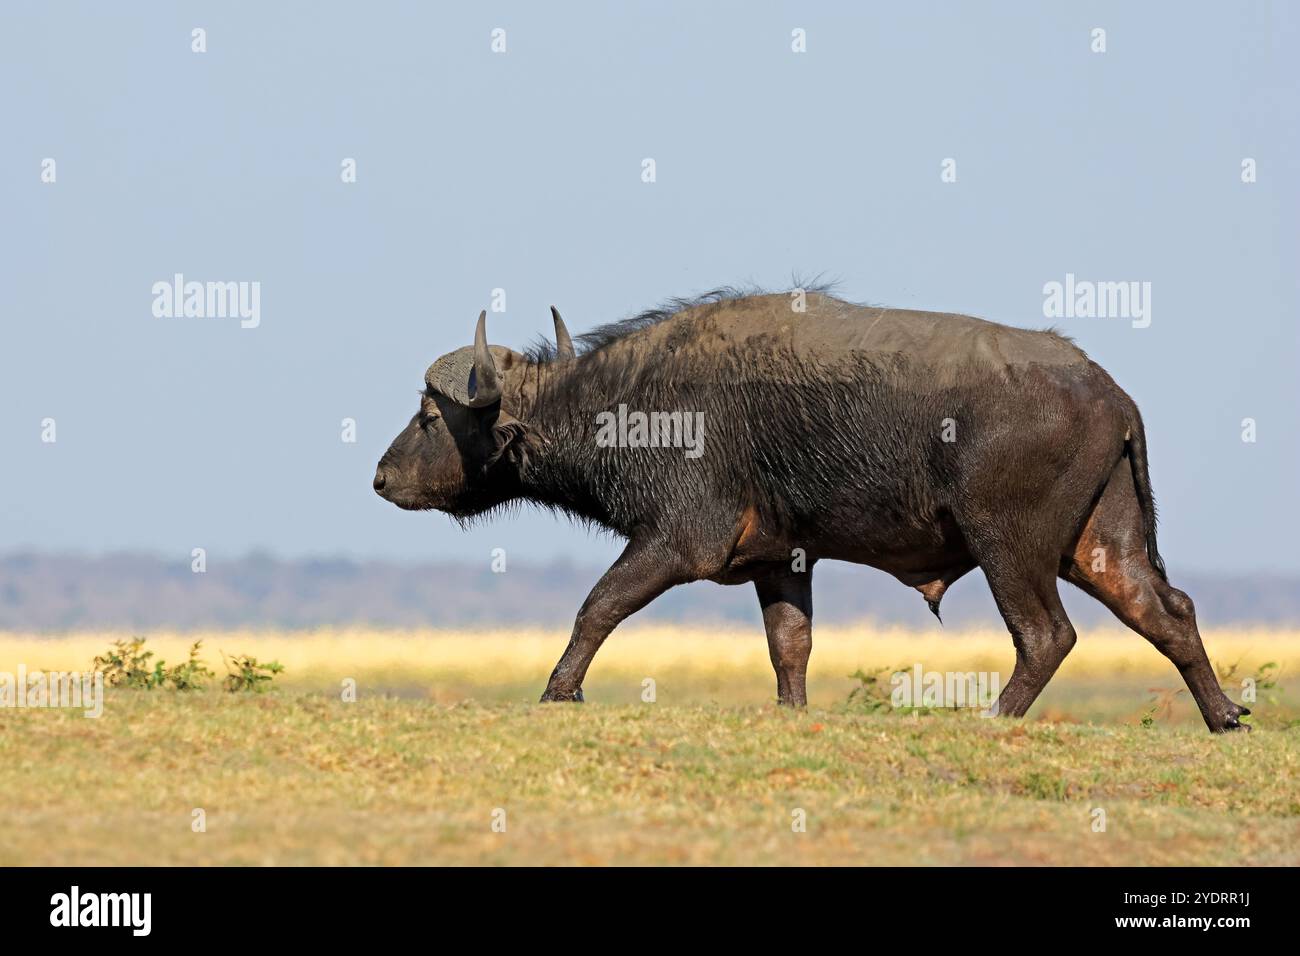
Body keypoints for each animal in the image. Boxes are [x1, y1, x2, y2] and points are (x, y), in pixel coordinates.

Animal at [374, 287, 1248, 738]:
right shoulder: (779, 563)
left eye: (428, 417)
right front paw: (792, 712)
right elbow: (789, 648)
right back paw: (1224, 716)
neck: (624, 403)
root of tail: (1109, 390)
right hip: (1101, 545)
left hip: (1010, 546)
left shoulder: (675, 542)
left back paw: (993, 716)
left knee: (1047, 635)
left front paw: (560, 691)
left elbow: (598, 607)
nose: (380, 478)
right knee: (1167, 610)